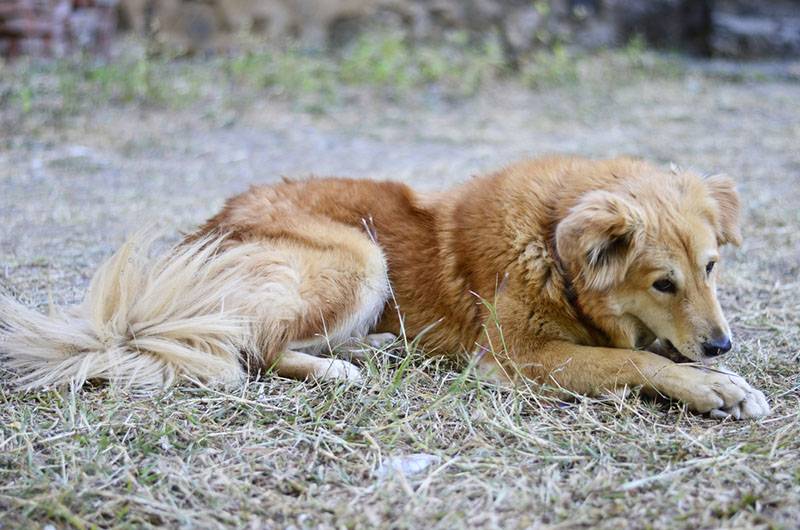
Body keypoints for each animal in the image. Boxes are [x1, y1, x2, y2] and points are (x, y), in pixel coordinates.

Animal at [3, 155, 772, 418]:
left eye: (711, 267)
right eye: (663, 282)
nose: (723, 346)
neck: (553, 245)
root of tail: (209, 228)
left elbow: (643, 348)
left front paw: (716, 375)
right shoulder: (516, 357)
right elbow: (633, 358)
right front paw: (714, 388)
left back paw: (369, 350)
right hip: (357, 255)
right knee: (251, 349)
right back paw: (343, 368)